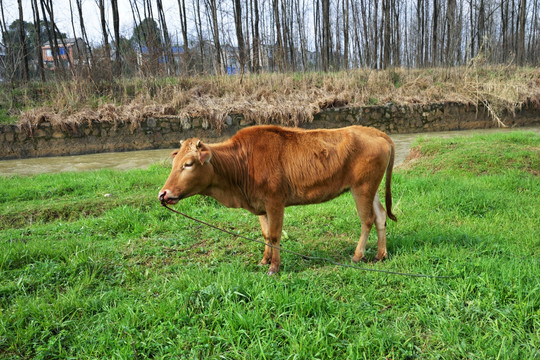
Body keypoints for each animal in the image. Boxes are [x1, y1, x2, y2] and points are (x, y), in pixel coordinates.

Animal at [158, 125, 394, 274]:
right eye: (174, 163)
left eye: (188, 164)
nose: (163, 194)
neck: (242, 164)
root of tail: (376, 132)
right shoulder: (261, 205)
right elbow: (265, 234)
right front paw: (265, 260)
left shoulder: (275, 202)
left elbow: (274, 235)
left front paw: (274, 267)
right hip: (371, 188)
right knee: (381, 216)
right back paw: (380, 254)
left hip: (362, 187)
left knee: (367, 220)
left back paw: (358, 255)